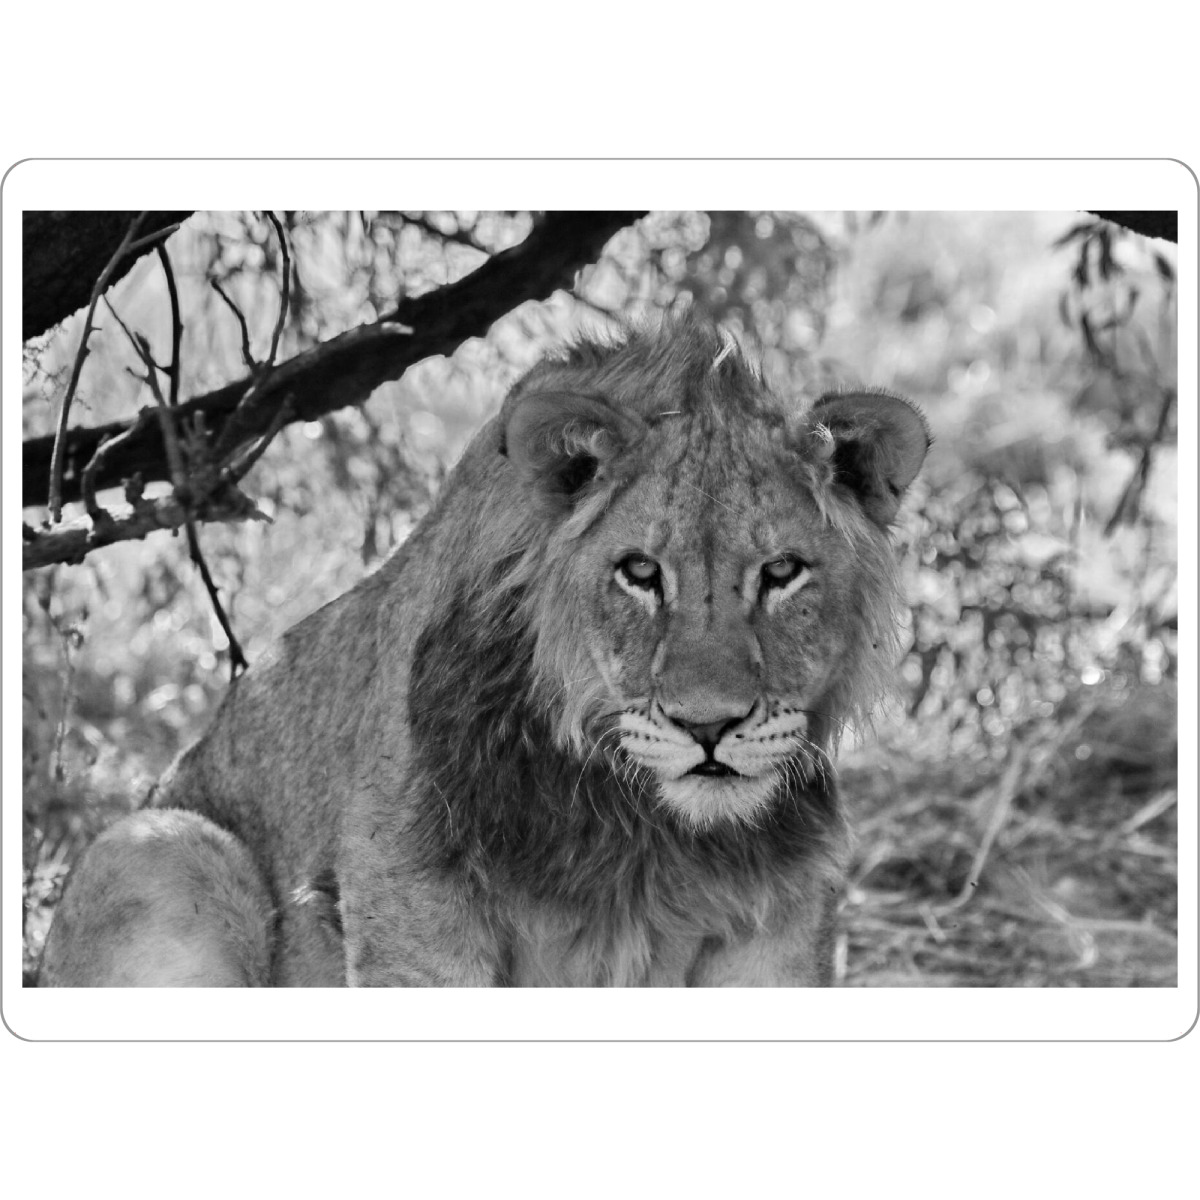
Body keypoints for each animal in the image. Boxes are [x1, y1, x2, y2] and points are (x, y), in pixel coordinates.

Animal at [38, 316, 929, 987]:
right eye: (640, 573)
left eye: (781, 573)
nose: (707, 727)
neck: (647, 828)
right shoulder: (408, 893)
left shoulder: (782, 916)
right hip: (166, 846)